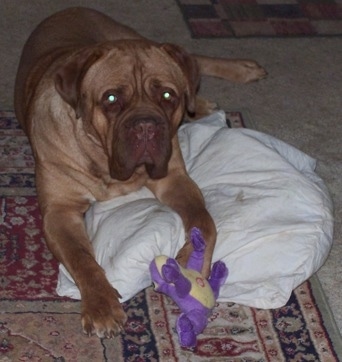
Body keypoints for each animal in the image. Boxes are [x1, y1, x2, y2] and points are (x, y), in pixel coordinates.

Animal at [14, 7, 268, 338]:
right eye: (111, 99)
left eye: (168, 96)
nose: (146, 124)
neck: (104, 162)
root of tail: (72, 9)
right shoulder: (59, 212)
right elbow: (82, 258)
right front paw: (101, 306)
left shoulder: (174, 179)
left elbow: (205, 221)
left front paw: (191, 263)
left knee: (193, 60)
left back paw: (238, 72)